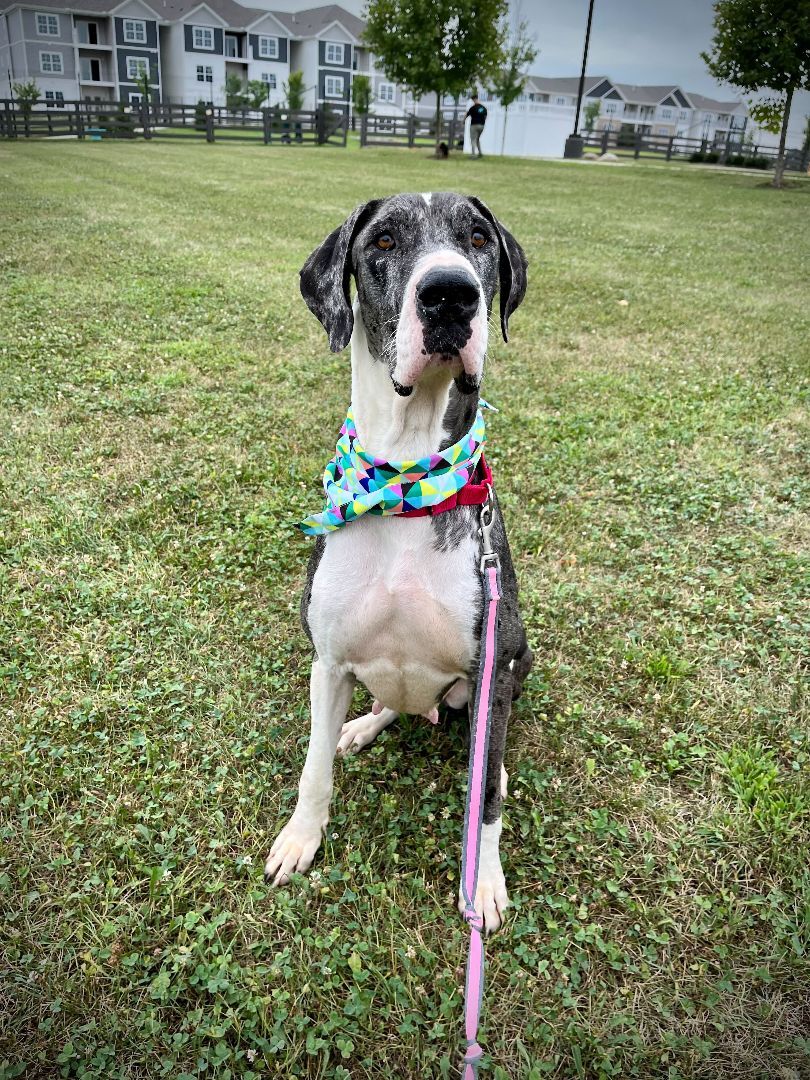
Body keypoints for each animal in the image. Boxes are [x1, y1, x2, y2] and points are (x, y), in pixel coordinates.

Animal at [263, 190, 535, 933]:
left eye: (478, 238)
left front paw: (485, 881)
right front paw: (300, 838)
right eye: (383, 241)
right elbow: (312, 769)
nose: (450, 295)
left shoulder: (493, 664)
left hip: (512, 667)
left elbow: (485, 799)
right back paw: (361, 726)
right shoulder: (327, 661)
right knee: (391, 703)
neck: (406, 481)